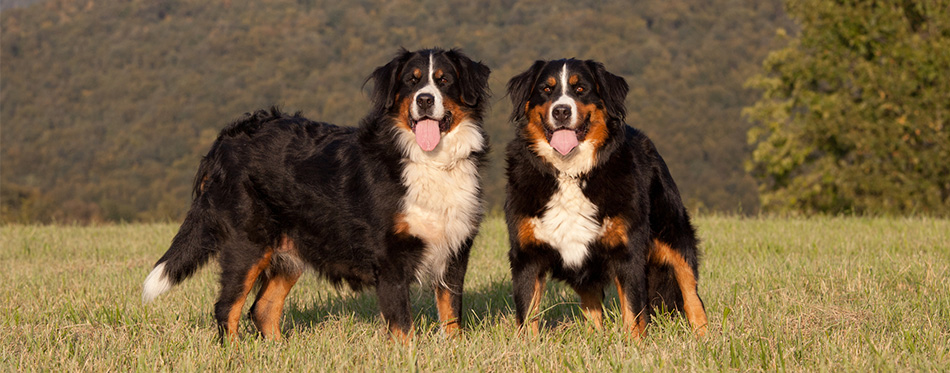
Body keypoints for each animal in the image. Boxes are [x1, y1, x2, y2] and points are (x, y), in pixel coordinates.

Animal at [145, 48, 494, 342]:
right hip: (247, 245)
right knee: (227, 307)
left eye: (444, 80)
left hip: (289, 250)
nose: (424, 100)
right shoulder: (390, 259)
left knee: (262, 309)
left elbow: (452, 316)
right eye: (412, 80)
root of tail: (227, 138)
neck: (429, 160)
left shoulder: (454, 252)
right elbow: (402, 327)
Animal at [506, 58, 708, 338]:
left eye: (581, 89)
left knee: (690, 290)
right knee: (591, 304)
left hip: (673, 232)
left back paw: (704, 334)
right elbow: (527, 316)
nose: (561, 111)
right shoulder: (527, 254)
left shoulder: (628, 251)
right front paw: (527, 347)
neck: (570, 173)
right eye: (546, 89)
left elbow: (633, 312)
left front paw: (634, 345)